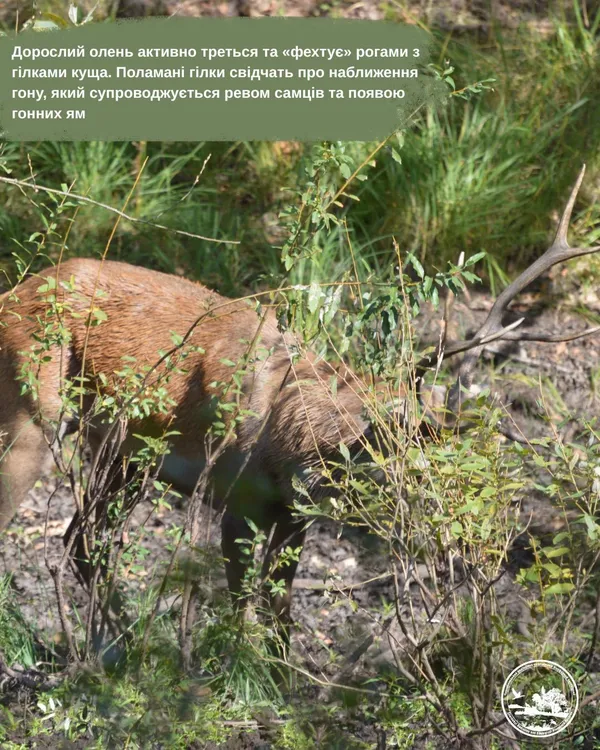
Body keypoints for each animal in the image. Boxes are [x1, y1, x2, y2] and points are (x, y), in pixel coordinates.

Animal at [0, 165, 599, 649]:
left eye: (412, 437)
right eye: (378, 432)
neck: (288, 448)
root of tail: (15, 293)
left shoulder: (294, 517)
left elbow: (281, 610)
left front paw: (286, 681)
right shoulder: (236, 496)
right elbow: (242, 605)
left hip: (127, 454)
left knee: (81, 541)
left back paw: (118, 646)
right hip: (34, 414)